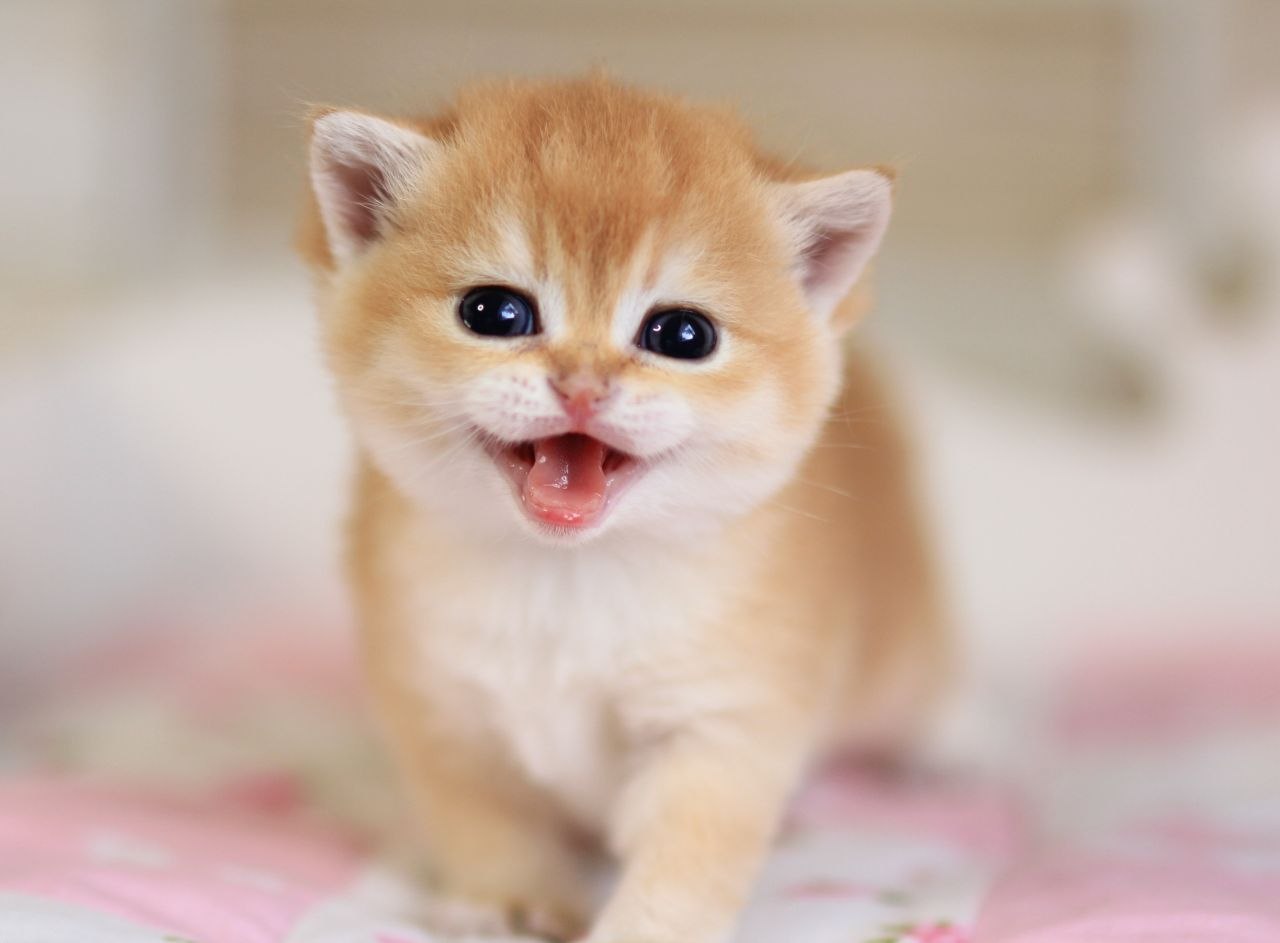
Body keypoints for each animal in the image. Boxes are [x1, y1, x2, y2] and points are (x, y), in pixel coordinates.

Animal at [298, 75, 947, 943]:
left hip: (902, 640)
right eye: (494, 314)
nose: (582, 384)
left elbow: (688, 853)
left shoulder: (724, 723)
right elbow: (482, 818)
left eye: (682, 334)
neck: (569, 577)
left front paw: (644, 926)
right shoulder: (442, 710)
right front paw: (512, 899)